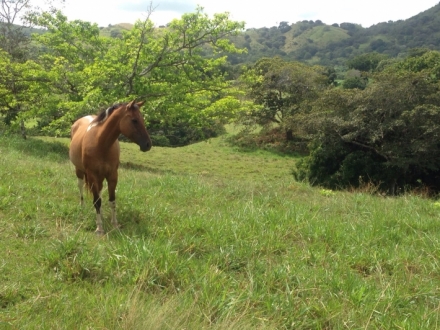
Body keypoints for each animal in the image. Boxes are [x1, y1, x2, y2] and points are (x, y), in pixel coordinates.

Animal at [68, 100, 151, 235]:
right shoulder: (92, 174)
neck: (101, 143)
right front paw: (99, 228)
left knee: (100, 192)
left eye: (142, 119)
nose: (148, 144)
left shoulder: (112, 175)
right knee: (81, 187)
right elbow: (97, 201)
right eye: (134, 120)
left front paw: (115, 225)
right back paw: (82, 207)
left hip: (100, 177)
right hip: (80, 171)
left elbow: (112, 200)